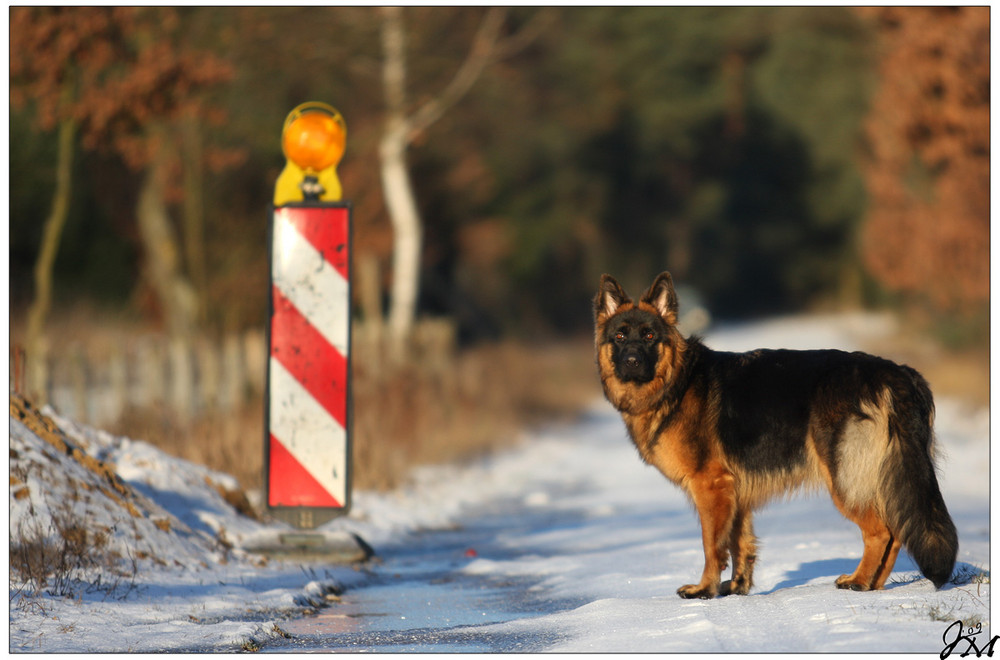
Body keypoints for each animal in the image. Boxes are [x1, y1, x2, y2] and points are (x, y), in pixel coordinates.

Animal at [592, 272, 960, 600]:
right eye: (620, 337)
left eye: (649, 336)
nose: (632, 361)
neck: (678, 381)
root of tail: (895, 373)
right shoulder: (734, 493)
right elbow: (739, 543)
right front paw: (736, 588)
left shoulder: (710, 487)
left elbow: (712, 545)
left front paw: (705, 589)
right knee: (895, 533)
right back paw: (873, 585)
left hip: (844, 480)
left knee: (880, 532)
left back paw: (859, 581)